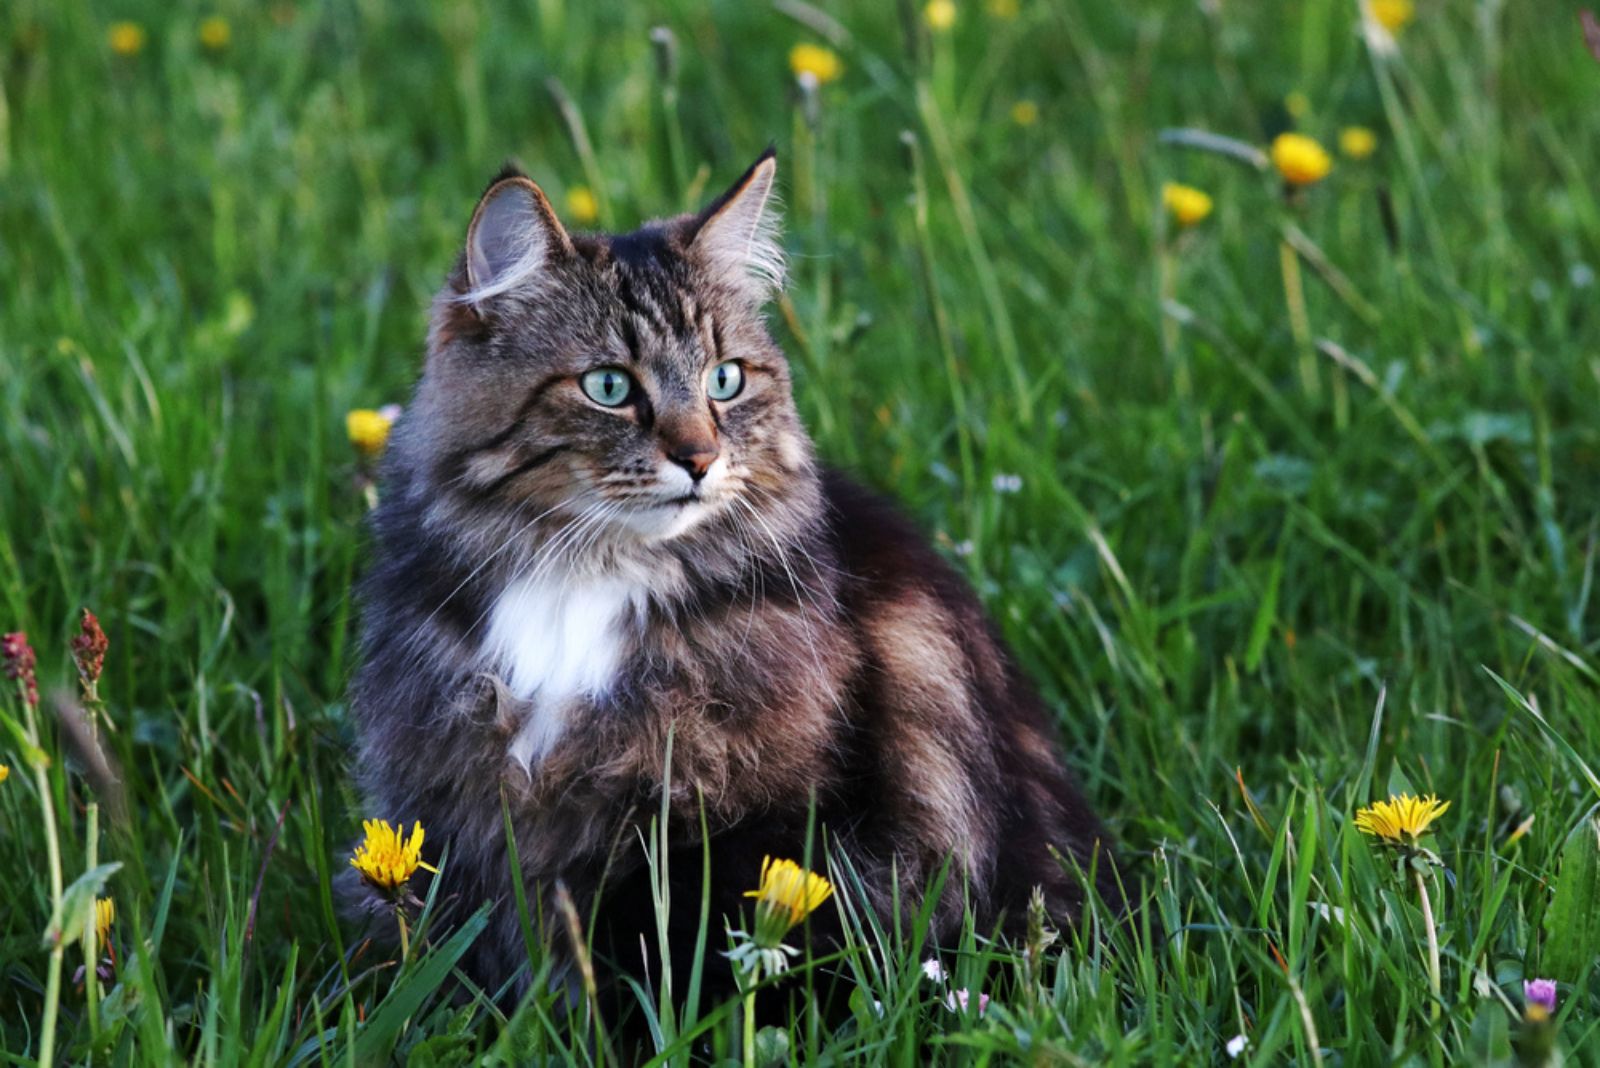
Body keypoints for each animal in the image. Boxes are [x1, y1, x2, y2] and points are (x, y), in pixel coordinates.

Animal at [347, 147, 1126, 1010]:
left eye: (725, 380)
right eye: (609, 386)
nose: (699, 458)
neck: (588, 577)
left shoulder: (744, 825)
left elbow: (675, 967)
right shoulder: (456, 804)